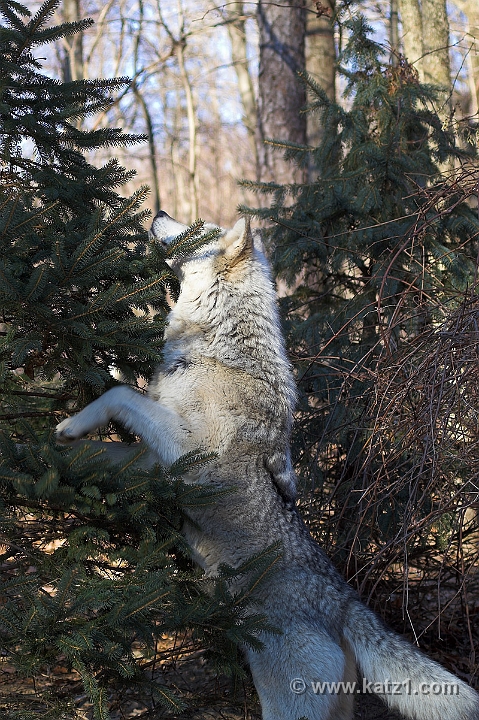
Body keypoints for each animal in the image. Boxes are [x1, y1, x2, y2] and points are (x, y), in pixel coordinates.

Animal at [56, 212, 479, 720]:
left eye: (198, 227)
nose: (156, 213)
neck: (213, 349)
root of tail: (343, 604)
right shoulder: (154, 462)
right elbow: (95, 450)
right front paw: (44, 447)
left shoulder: (188, 454)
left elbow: (118, 392)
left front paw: (69, 424)